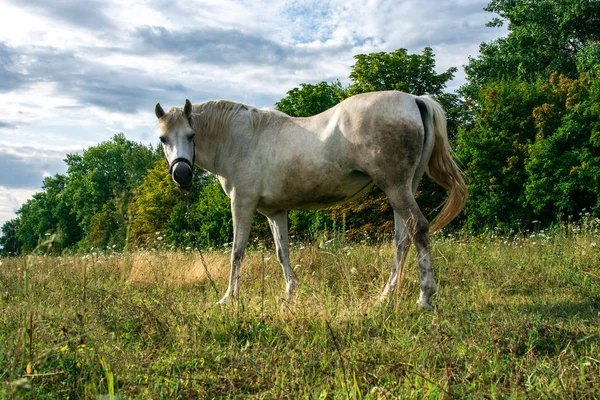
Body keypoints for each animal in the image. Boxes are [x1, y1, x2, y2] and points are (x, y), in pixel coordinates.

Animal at [154, 91, 464, 310]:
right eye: (163, 139)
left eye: (191, 135)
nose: (182, 175)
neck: (238, 138)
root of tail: (414, 100)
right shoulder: (275, 212)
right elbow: (282, 252)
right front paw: (289, 294)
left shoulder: (242, 203)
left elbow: (237, 252)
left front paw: (228, 298)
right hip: (403, 188)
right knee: (402, 239)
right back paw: (385, 295)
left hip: (396, 187)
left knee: (418, 229)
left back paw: (425, 297)